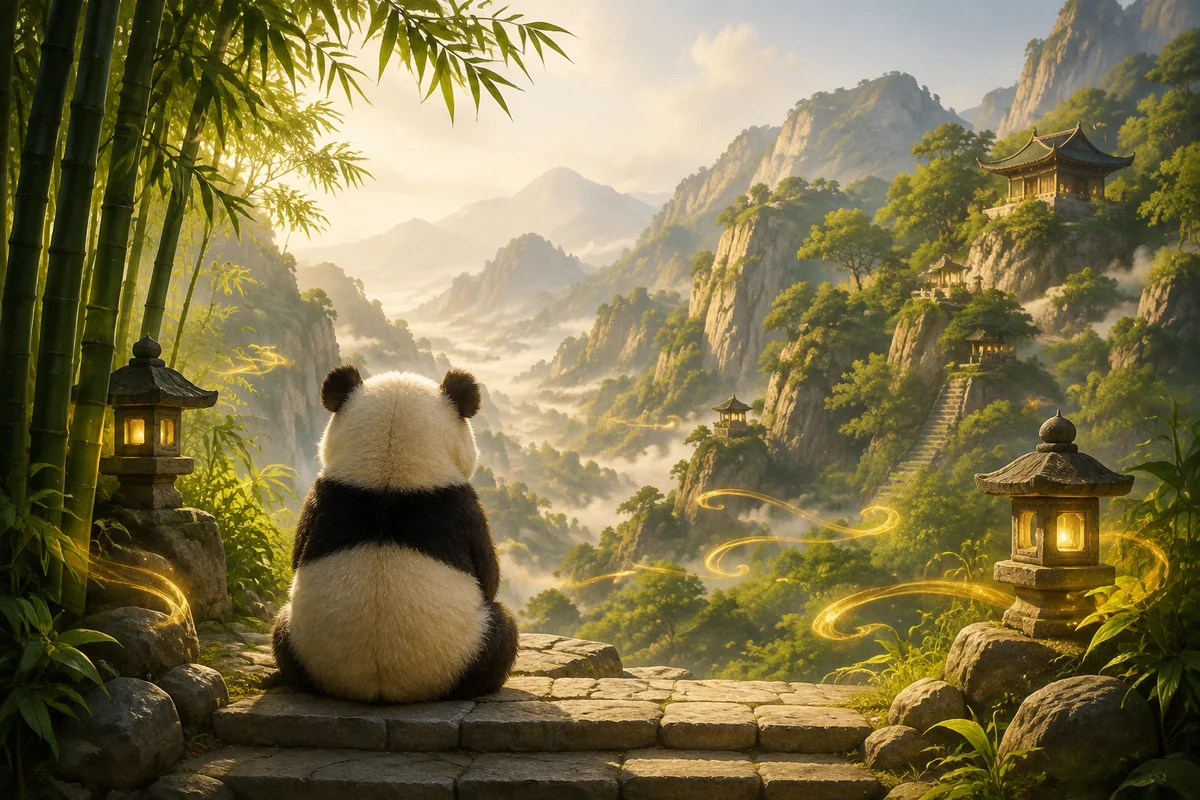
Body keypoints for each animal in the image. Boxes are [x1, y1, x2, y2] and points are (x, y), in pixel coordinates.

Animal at [271, 364, 519, 703]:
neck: (389, 470)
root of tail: (383, 688)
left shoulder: (321, 500)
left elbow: (296, 557)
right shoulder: (462, 509)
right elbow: (488, 577)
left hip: (300, 642)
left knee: (280, 633)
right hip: (466, 650)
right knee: (501, 633)